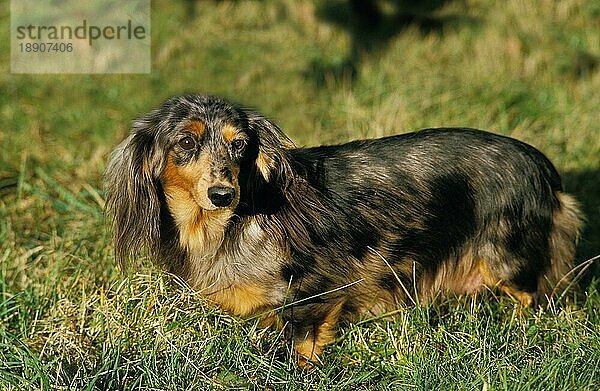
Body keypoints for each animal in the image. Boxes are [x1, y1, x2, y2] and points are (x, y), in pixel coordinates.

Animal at [105, 95, 584, 368]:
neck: (226, 227)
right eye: (186, 143)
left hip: (506, 258)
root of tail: (542, 167)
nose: (223, 194)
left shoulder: (316, 288)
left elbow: (301, 345)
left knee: (530, 297)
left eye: (239, 145)